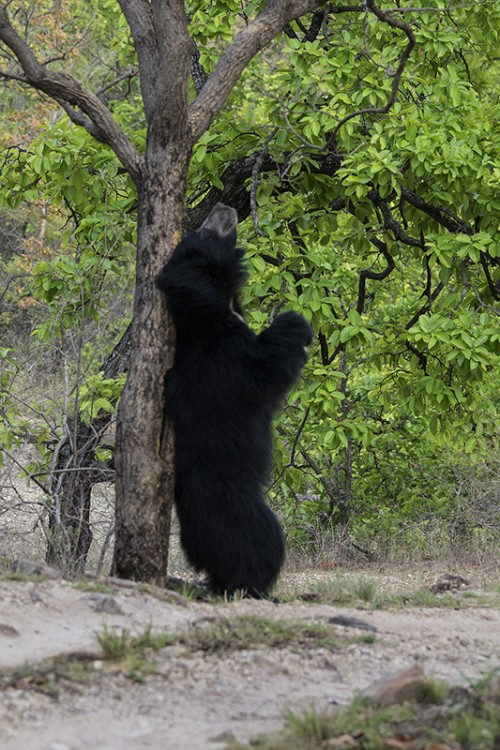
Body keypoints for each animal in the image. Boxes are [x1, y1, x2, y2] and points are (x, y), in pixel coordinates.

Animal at [156, 204, 312, 600]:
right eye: (203, 232)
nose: (223, 207)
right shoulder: (227, 360)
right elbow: (266, 370)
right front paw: (296, 323)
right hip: (233, 501)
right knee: (258, 538)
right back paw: (253, 583)